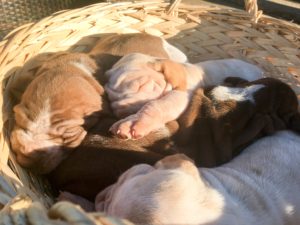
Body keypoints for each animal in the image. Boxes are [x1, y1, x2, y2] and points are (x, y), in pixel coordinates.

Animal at [106, 53, 264, 140]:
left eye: (142, 85)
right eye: (110, 100)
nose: (122, 110)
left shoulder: (182, 94)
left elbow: (155, 105)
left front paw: (133, 122)